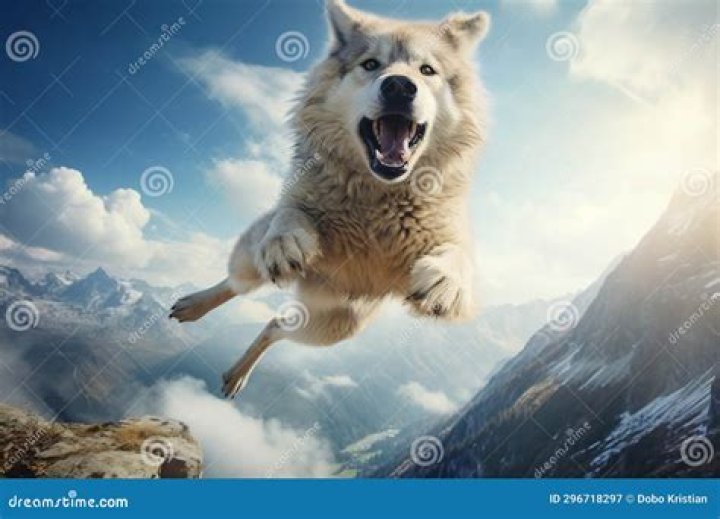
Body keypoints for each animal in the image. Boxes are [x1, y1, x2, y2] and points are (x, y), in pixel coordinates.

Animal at [170, 0, 491, 398]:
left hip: (334, 327)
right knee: (237, 284)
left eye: (427, 70)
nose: (400, 86)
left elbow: (459, 255)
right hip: (256, 267)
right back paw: (194, 306)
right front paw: (286, 242)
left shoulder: (449, 240)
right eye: (371, 64)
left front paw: (445, 282)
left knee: (275, 324)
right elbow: (292, 213)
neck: (378, 196)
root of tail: (307, 291)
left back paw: (237, 373)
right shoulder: (297, 202)